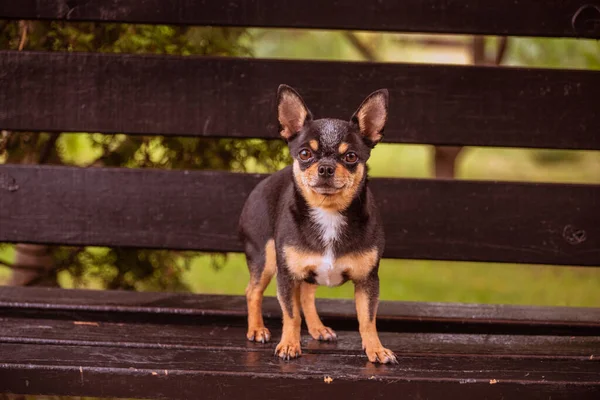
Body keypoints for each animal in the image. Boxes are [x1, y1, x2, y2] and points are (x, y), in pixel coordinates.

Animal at [237, 85, 396, 366]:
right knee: (252, 291)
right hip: (265, 259)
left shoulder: (367, 281)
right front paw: (289, 345)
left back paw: (317, 328)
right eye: (305, 154)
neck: (329, 213)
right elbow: (290, 314)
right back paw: (256, 329)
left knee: (307, 295)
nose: (325, 167)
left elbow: (367, 319)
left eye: (351, 156)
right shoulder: (287, 276)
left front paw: (376, 349)